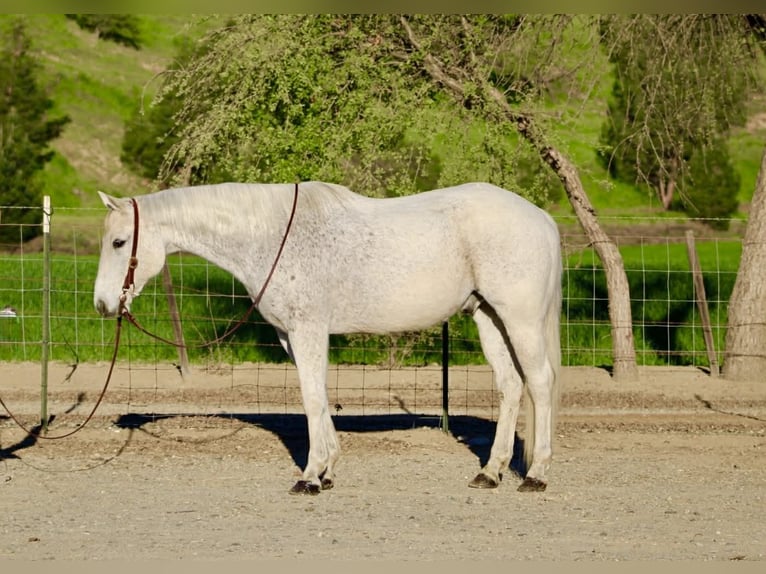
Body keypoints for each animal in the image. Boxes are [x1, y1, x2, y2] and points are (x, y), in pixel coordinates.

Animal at [93, 181, 562, 495]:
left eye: (119, 242)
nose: (102, 304)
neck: (271, 237)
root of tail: (542, 219)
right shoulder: (292, 336)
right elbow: (317, 393)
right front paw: (328, 470)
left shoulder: (307, 330)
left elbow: (311, 398)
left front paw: (310, 476)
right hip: (489, 318)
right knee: (510, 387)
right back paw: (491, 472)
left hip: (519, 320)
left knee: (539, 384)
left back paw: (536, 474)